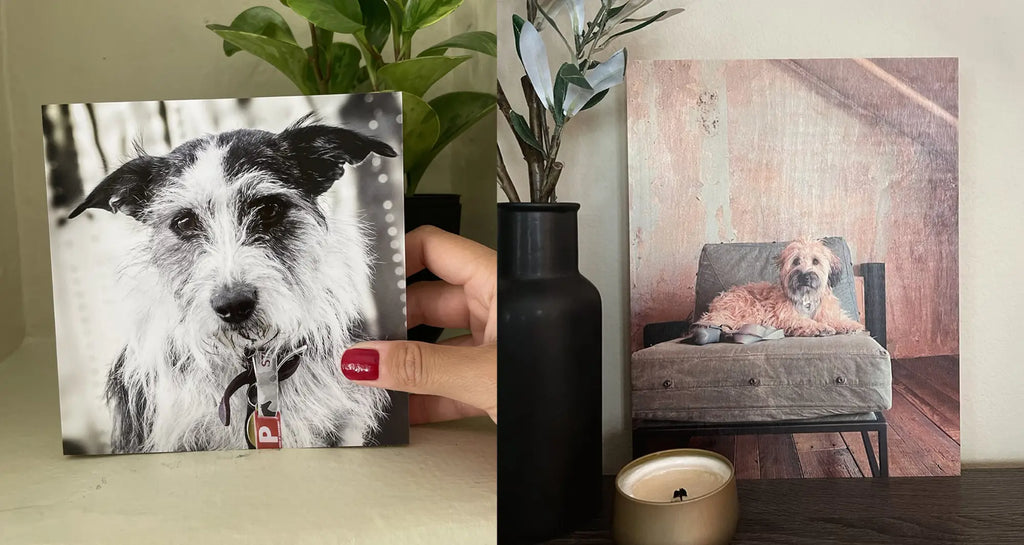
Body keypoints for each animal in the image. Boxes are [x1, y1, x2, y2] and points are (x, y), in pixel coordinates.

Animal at [696, 237, 864, 336]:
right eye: (796, 261)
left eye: (815, 261)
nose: (804, 276)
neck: (806, 298)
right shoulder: (784, 315)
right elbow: (802, 320)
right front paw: (820, 327)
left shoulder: (826, 312)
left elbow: (835, 319)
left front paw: (850, 324)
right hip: (749, 308)